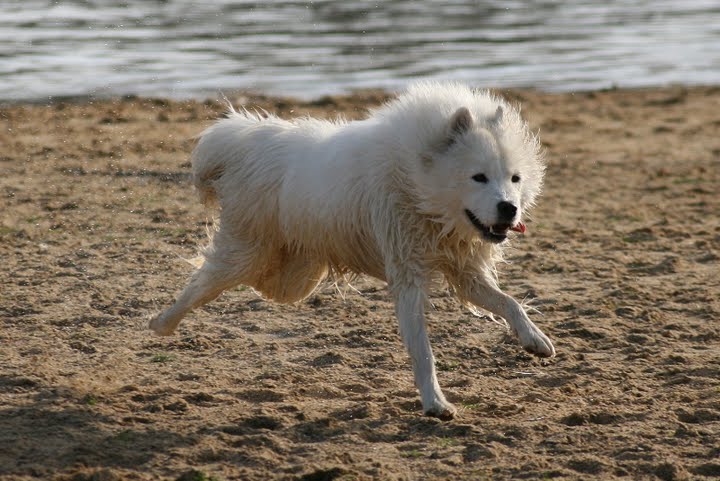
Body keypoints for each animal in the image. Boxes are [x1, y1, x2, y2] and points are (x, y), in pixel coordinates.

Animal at [150, 81, 556, 416]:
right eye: (478, 177)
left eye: (514, 178)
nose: (509, 208)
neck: (416, 183)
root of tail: (246, 137)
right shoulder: (406, 274)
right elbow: (423, 350)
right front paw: (434, 402)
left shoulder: (464, 270)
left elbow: (509, 302)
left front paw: (535, 339)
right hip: (247, 254)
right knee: (202, 283)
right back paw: (162, 322)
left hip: (295, 275)